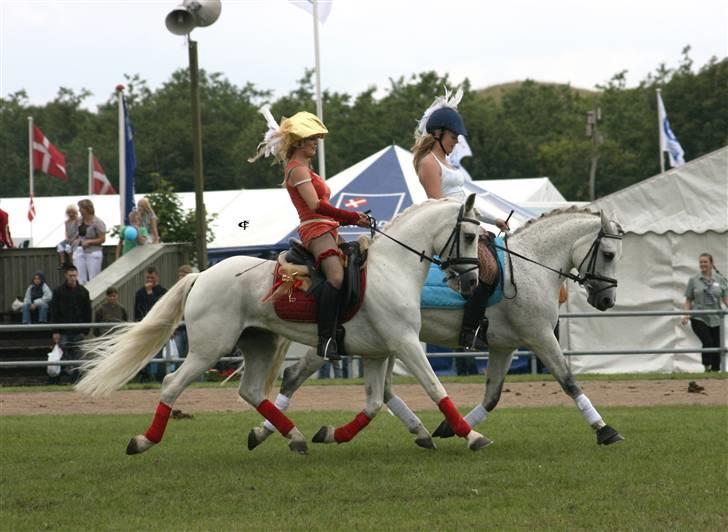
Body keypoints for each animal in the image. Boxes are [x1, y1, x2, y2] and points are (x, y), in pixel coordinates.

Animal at [77, 195, 494, 454]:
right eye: (470, 235)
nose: (472, 282)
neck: (392, 267)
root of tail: (201, 275)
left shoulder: (379, 353)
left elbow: (375, 403)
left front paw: (333, 433)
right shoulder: (405, 343)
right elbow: (436, 389)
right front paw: (472, 435)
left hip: (257, 344)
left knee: (250, 391)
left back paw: (295, 437)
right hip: (209, 350)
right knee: (171, 384)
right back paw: (143, 441)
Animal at [250, 207, 624, 448]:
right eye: (608, 254)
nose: (607, 300)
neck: (530, 267)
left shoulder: (504, 346)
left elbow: (492, 397)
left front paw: (452, 427)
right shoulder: (540, 337)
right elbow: (569, 382)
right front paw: (604, 429)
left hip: (384, 343)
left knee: (382, 391)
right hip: (350, 341)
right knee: (294, 376)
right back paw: (269, 431)